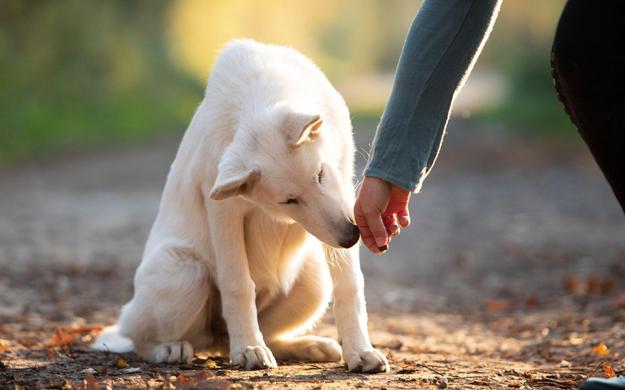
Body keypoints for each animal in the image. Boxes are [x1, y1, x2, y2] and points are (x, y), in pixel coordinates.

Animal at [92, 38, 388, 374]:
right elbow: (238, 286)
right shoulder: (224, 211)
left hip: (314, 283)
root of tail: (216, 340)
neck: (258, 95)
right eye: (289, 201)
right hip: (185, 272)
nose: (350, 237)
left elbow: (350, 286)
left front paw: (360, 351)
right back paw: (174, 348)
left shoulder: (344, 185)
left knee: (259, 335)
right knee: (141, 337)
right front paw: (249, 348)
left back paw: (308, 346)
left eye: (320, 175)